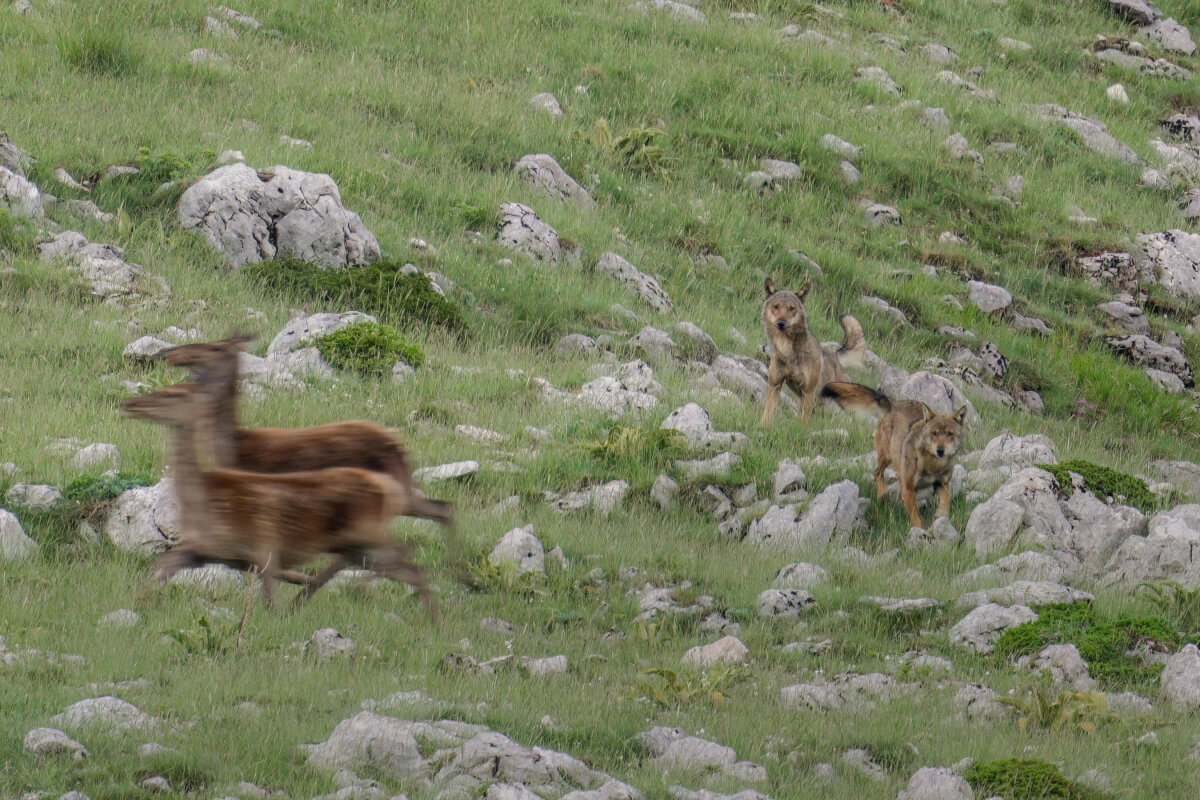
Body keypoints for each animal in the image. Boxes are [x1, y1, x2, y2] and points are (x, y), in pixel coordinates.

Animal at [121, 383, 439, 618]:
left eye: (174, 393)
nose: (130, 404)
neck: (202, 496)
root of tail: (386, 488)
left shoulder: (263, 546)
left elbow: (270, 600)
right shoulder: (206, 549)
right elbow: (162, 564)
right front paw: (137, 602)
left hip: (365, 533)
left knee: (409, 555)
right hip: (357, 544)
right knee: (407, 564)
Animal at [763, 277, 868, 424]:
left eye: (792, 308)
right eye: (776, 306)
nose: (781, 323)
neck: (787, 350)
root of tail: (835, 356)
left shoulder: (809, 391)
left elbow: (803, 422)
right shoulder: (775, 384)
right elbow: (767, 414)